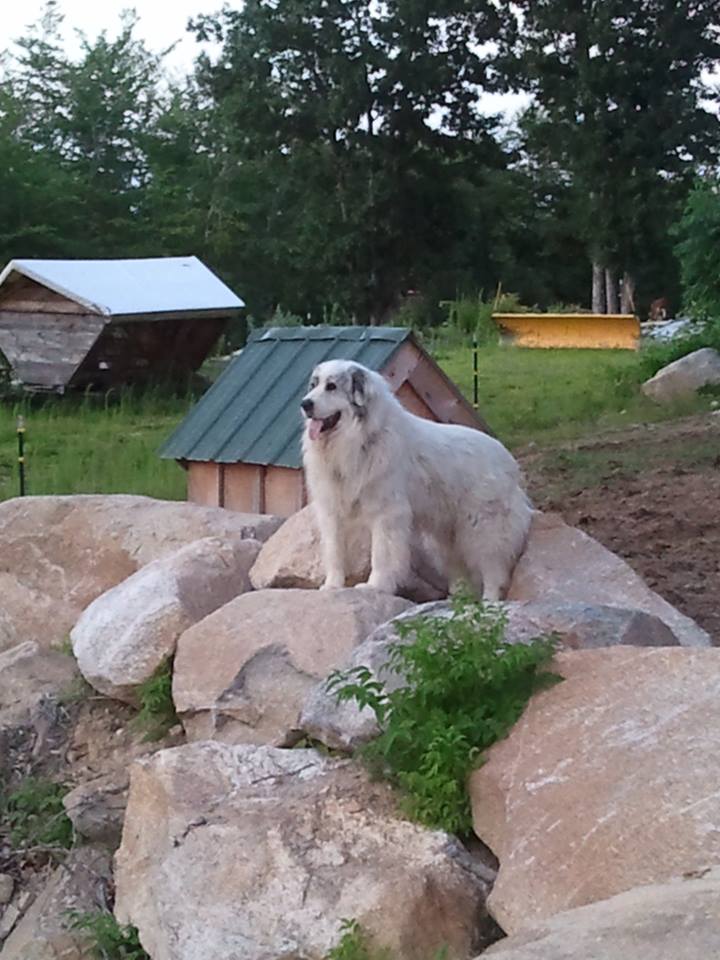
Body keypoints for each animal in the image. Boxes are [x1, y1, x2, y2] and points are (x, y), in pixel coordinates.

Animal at [300, 360, 532, 600]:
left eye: (332, 387)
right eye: (313, 385)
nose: (304, 404)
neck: (357, 439)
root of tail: (508, 458)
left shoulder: (387, 513)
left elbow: (381, 554)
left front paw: (375, 586)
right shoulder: (331, 510)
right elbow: (334, 551)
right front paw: (332, 586)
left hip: (483, 529)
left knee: (493, 568)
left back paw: (489, 601)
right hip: (445, 537)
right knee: (459, 568)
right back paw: (458, 598)